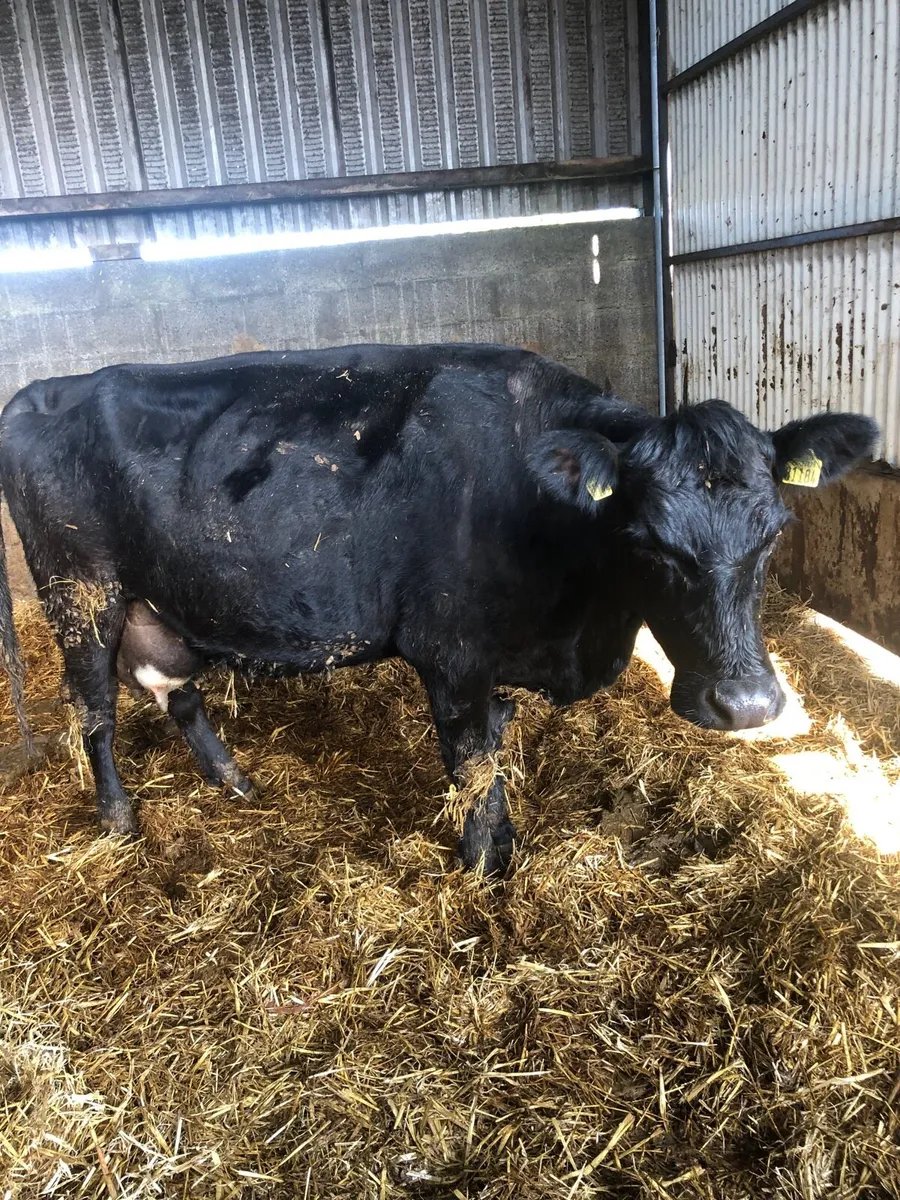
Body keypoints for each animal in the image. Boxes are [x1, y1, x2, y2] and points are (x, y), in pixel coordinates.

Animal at [0, 345, 878, 875]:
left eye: (776, 531)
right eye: (648, 540)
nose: (748, 704)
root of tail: (43, 391)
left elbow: (495, 752)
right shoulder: (450, 655)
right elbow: (474, 769)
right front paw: (486, 870)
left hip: (156, 606)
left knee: (177, 695)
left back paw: (235, 782)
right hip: (80, 593)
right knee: (93, 711)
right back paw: (118, 822)